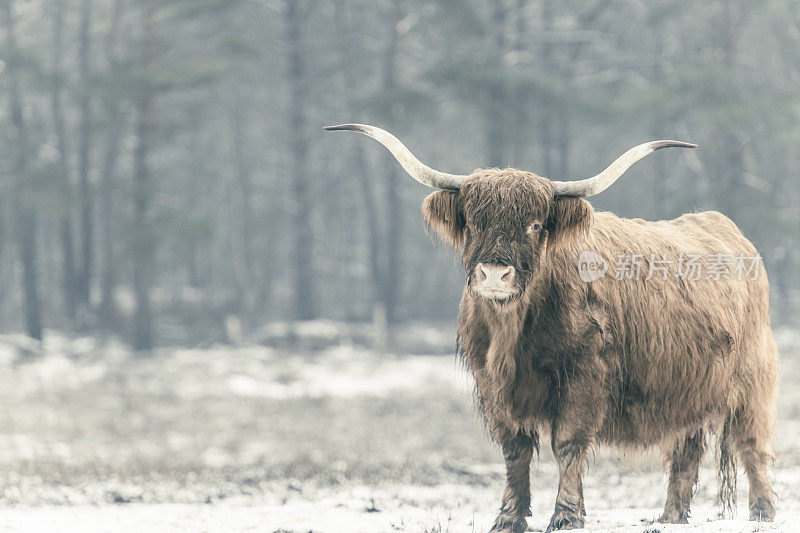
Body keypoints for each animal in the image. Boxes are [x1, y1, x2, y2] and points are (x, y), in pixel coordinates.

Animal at [324, 122, 776, 528]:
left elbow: (568, 443)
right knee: (685, 451)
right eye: (473, 221)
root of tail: (723, 227)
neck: (511, 332)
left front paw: (566, 515)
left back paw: (763, 512)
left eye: (535, 224)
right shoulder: (492, 384)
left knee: (752, 446)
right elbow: (515, 448)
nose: (494, 274)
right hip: (688, 387)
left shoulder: (582, 376)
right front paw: (508, 517)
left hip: (751, 381)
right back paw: (670, 517)